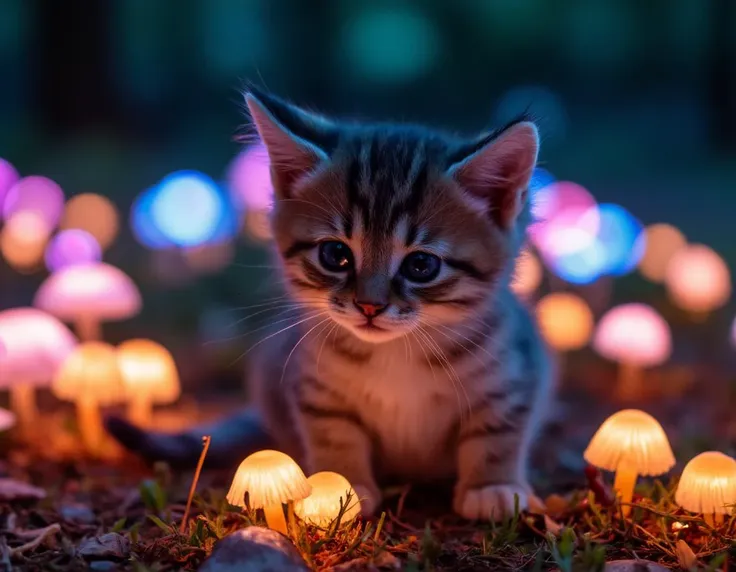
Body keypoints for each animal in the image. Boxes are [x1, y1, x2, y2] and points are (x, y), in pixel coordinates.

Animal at [108, 89, 552, 524]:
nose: (369, 305)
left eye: (421, 265)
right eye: (335, 255)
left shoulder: (515, 374)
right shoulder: (313, 385)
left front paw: (491, 486)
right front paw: (341, 486)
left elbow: (498, 430)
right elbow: (334, 433)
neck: (396, 353)